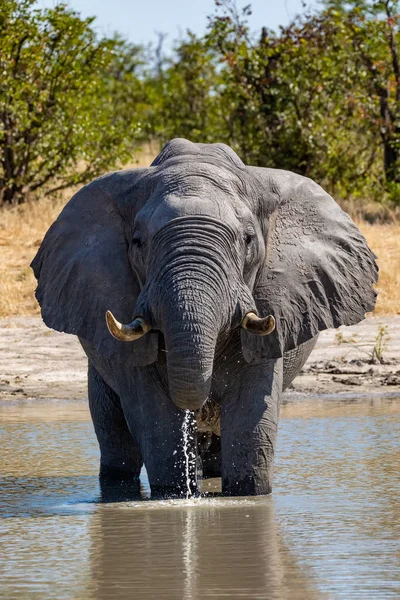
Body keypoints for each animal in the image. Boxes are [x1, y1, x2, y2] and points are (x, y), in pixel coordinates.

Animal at [32, 137, 378, 496]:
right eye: (138, 243)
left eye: (248, 240)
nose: (199, 409)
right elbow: (156, 414)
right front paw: (176, 495)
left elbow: (251, 415)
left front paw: (247, 496)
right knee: (116, 443)